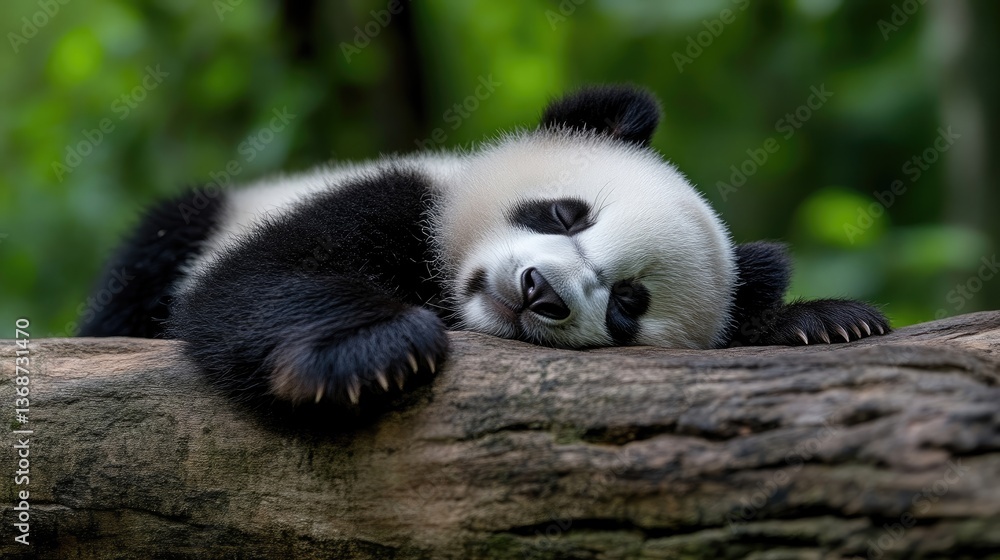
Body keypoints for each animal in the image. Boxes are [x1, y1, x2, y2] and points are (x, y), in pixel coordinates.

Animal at [78, 85, 890, 407]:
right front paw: (374, 352)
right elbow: (265, 274)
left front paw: (822, 321)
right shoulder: (397, 197)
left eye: (628, 303)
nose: (540, 290)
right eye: (565, 214)